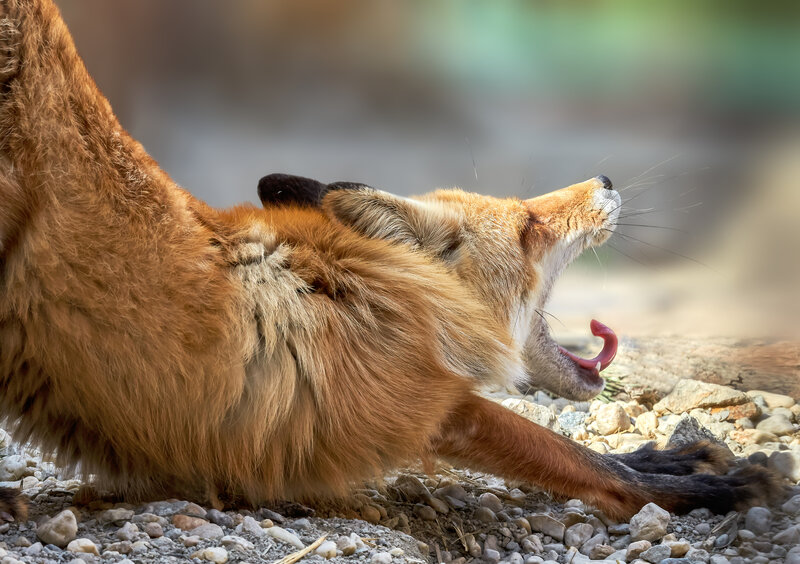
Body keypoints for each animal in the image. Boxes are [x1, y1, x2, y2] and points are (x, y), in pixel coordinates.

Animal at [0, 0, 779, 524]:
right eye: (528, 224)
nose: (607, 179)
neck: (380, 292)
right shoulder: (413, 403)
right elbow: (567, 452)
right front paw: (684, 487)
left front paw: (663, 459)